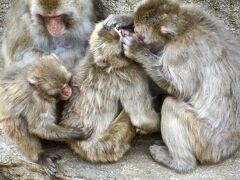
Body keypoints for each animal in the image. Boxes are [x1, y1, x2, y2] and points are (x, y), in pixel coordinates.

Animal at [59, 21, 160, 164]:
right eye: (121, 49)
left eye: (119, 31)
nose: (125, 33)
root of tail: (82, 149)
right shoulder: (132, 73)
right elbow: (142, 118)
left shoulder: (88, 55)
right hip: (108, 145)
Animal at [104, 0, 240, 172]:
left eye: (141, 36)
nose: (132, 31)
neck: (184, 26)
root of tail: (230, 147)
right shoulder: (197, 12)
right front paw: (123, 19)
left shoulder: (180, 51)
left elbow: (180, 89)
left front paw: (137, 50)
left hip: (206, 141)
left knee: (171, 105)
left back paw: (180, 162)